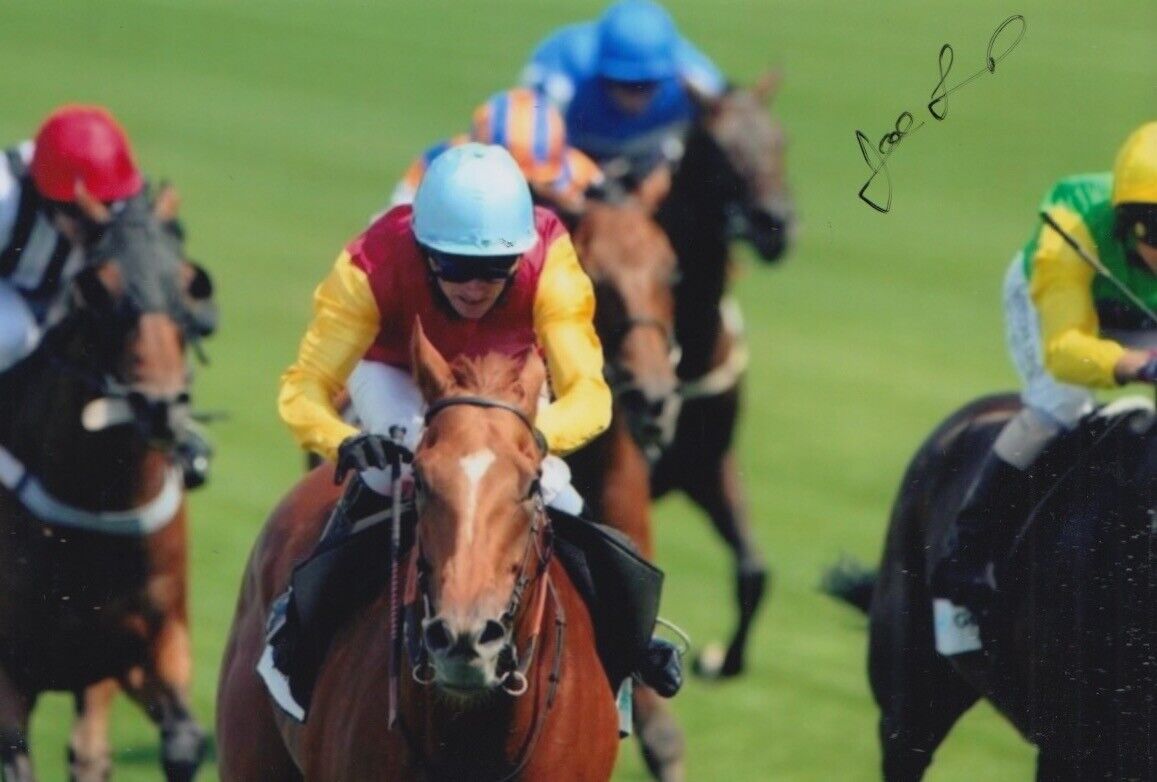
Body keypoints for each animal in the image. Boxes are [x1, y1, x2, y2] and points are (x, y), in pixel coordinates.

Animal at [0, 186, 210, 777]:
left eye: (192, 282)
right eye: (97, 286)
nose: (160, 406)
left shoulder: (145, 647)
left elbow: (184, 740)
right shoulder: (10, 675)